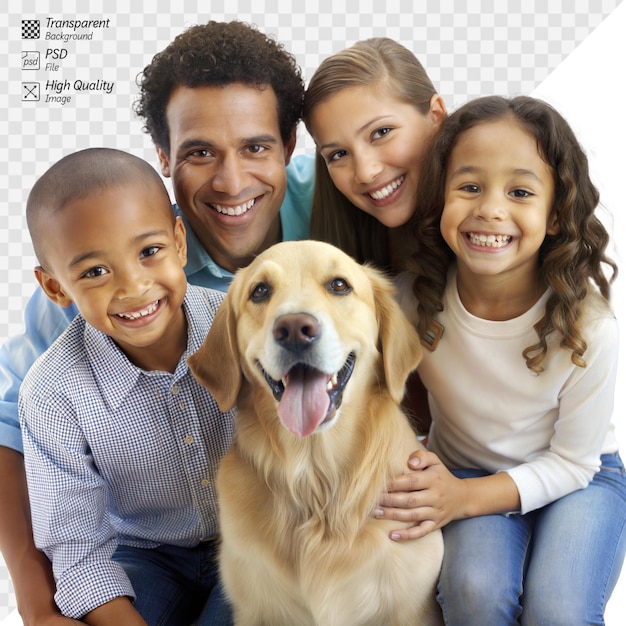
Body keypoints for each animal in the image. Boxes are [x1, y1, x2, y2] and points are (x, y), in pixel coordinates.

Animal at [188, 240, 442, 624]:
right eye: (259, 291)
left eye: (339, 285)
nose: (294, 328)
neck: (315, 481)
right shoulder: (253, 608)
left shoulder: (413, 607)